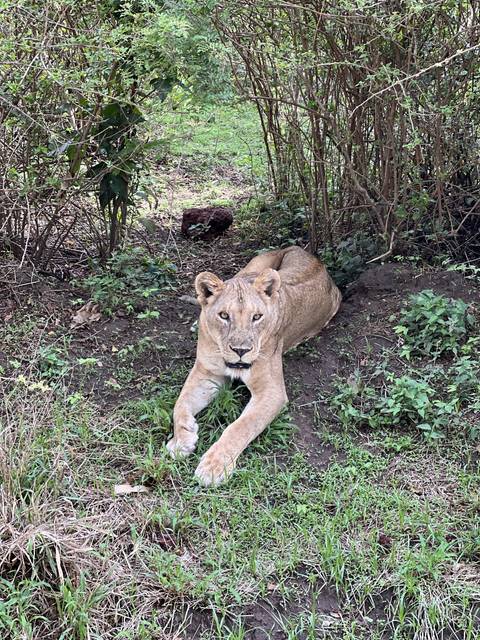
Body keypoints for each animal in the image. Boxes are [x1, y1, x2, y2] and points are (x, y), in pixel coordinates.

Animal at [166, 246, 342, 485]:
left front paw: (214, 466)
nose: (241, 351)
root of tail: (298, 248)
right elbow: (180, 404)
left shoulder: (272, 392)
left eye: (257, 317)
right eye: (224, 315)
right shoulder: (207, 373)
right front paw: (181, 440)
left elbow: (241, 426)